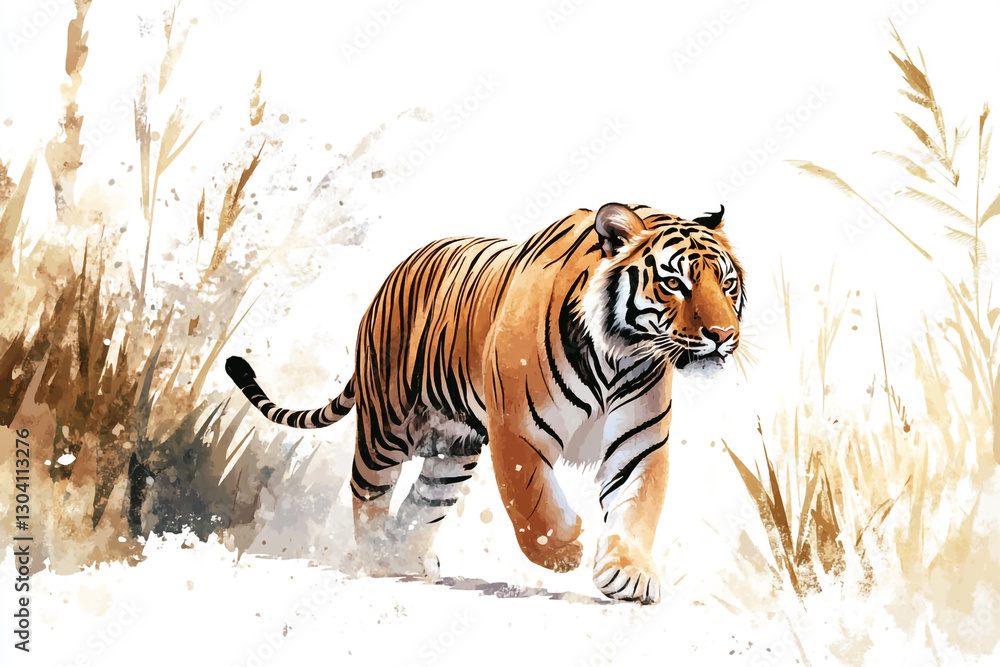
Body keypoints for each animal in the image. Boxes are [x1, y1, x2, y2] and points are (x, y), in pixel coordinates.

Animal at [225, 202, 744, 604]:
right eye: (674, 283)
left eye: (728, 284)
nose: (723, 335)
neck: (618, 354)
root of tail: (388, 280)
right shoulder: (516, 430)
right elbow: (532, 504)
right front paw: (565, 550)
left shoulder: (640, 440)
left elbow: (637, 505)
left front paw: (629, 575)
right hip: (384, 430)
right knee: (367, 490)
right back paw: (376, 557)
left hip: (452, 453)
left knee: (423, 501)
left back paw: (405, 554)